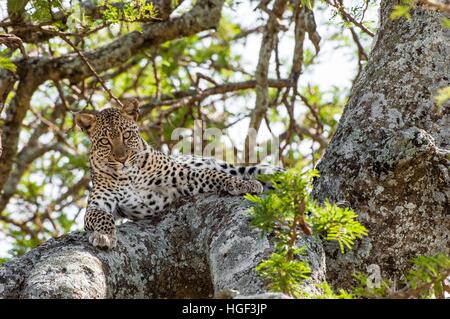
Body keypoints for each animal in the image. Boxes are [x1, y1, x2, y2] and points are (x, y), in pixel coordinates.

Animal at [75, 100, 284, 250]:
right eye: (104, 141)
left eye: (126, 135)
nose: (122, 159)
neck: (130, 176)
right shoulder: (97, 205)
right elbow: (103, 217)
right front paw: (104, 236)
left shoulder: (184, 175)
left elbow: (213, 176)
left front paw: (243, 184)